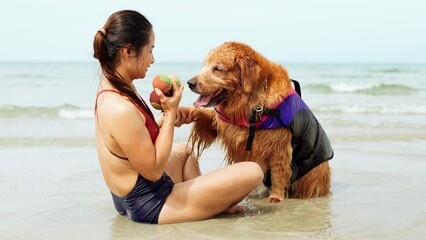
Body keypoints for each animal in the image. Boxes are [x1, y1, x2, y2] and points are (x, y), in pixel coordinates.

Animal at [186, 41, 332, 202]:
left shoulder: (278, 144)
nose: (189, 83)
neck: (250, 101)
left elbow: (278, 172)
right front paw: (189, 112)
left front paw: (276, 197)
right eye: (204, 65)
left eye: (218, 68)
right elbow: (210, 119)